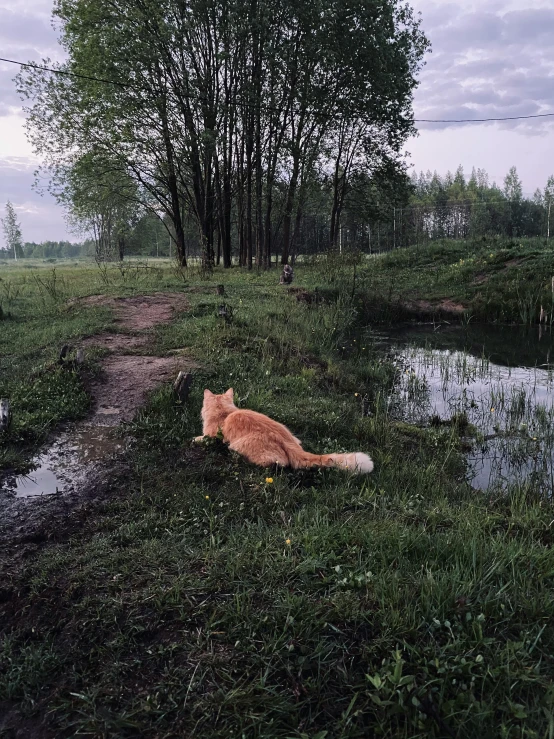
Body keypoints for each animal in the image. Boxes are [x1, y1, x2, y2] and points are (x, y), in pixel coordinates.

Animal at [193, 388, 370, 474]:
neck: (224, 412)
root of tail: (292, 445)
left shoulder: (211, 437)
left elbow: (201, 438)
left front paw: (194, 439)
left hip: (241, 447)